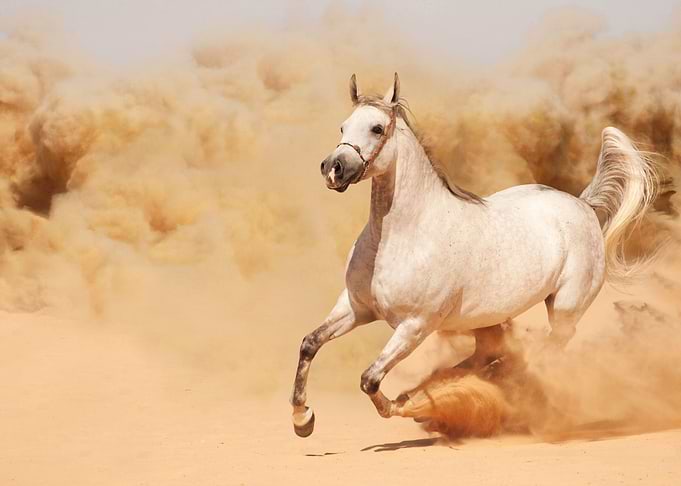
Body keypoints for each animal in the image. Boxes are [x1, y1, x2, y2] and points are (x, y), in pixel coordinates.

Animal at [290, 73, 659, 437]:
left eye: (377, 128)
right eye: (343, 127)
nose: (333, 168)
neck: (401, 237)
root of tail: (583, 206)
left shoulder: (415, 326)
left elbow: (370, 380)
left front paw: (405, 405)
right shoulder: (355, 308)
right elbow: (310, 343)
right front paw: (302, 418)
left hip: (565, 310)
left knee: (543, 353)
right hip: (492, 320)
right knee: (493, 355)